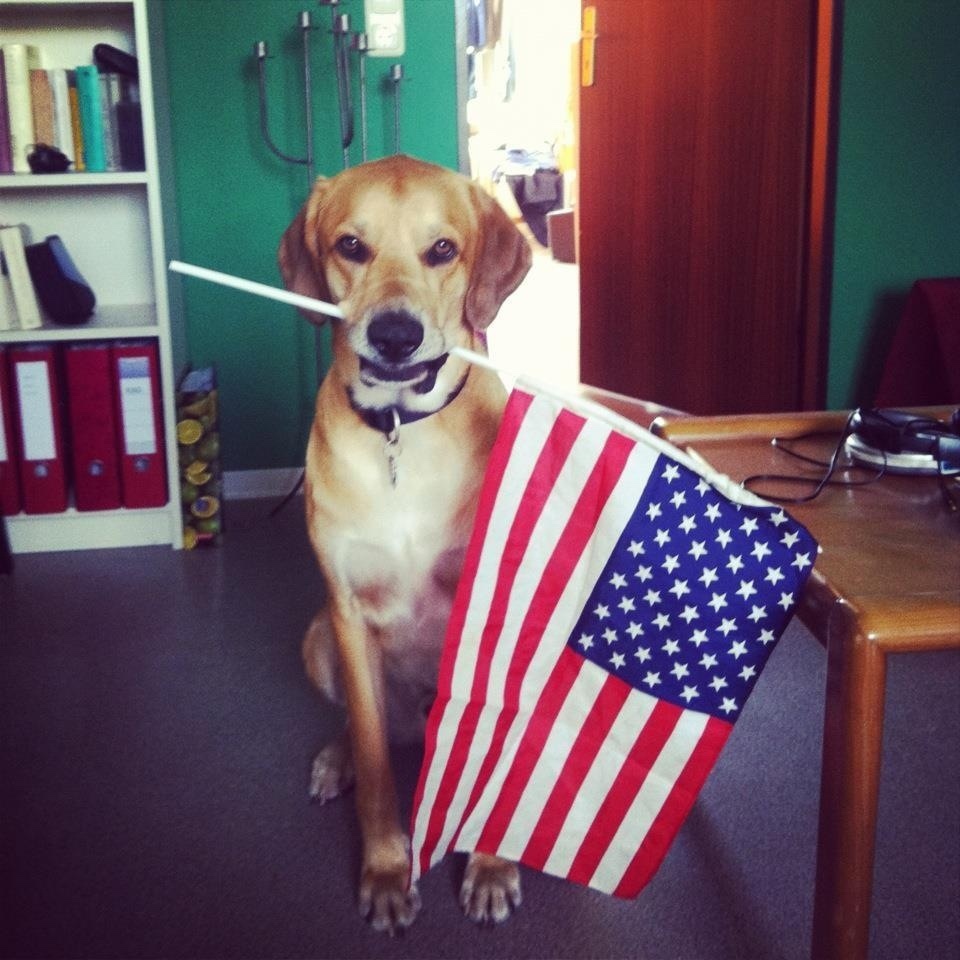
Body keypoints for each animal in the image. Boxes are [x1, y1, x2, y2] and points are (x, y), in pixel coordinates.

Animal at [278, 155, 532, 933]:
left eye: (442, 249)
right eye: (351, 246)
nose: (394, 335)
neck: (401, 430)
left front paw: (490, 864)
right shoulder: (348, 612)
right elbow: (374, 761)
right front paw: (387, 870)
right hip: (318, 640)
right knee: (368, 731)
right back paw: (338, 760)